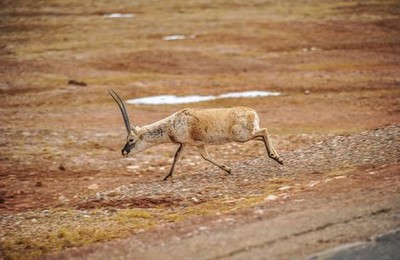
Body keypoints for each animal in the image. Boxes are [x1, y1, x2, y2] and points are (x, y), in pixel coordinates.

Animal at [109, 88, 282, 180]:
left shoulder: (187, 143)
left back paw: (276, 157)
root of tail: (252, 112)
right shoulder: (194, 144)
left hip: (241, 136)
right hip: (245, 136)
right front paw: (228, 169)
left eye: (131, 139)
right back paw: (276, 157)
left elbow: (179, 156)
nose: (123, 152)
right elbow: (199, 157)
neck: (171, 124)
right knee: (261, 136)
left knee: (264, 131)